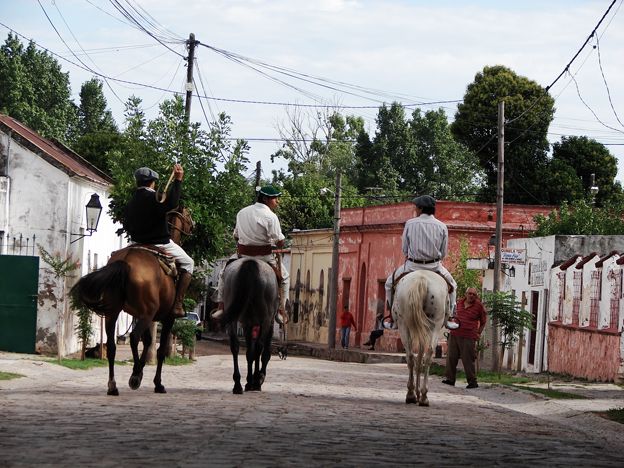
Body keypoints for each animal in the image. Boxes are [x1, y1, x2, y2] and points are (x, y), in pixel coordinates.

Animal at [70, 208, 193, 394]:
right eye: (187, 215)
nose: (193, 226)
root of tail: (125, 261)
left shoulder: (142, 316)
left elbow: (148, 341)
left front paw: (141, 369)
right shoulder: (166, 318)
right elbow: (160, 350)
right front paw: (156, 382)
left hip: (114, 313)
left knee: (111, 346)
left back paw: (113, 385)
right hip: (146, 314)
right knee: (134, 337)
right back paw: (134, 376)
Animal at [219, 258, 278, 394]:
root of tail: (251, 263)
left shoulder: (248, 323)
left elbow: (249, 352)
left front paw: (248, 381)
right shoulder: (269, 321)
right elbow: (264, 352)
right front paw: (257, 379)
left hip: (234, 312)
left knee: (235, 346)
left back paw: (237, 384)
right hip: (265, 317)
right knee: (259, 347)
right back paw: (255, 381)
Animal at [394, 270, 448, 406]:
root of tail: (421, 278)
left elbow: (418, 359)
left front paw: (416, 393)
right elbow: (420, 359)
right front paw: (418, 393)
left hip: (404, 324)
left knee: (411, 357)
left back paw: (413, 395)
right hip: (435, 324)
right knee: (426, 355)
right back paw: (422, 396)